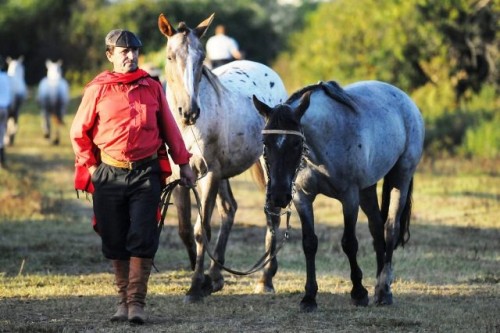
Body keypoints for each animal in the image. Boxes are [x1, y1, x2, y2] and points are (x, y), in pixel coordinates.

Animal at [254, 80, 426, 312]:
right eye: (265, 142)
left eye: (296, 144)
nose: (279, 196)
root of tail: (405, 100)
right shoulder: (302, 198)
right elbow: (309, 243)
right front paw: (309, 297)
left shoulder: (349, 197)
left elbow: (349, 243)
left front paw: (358, 292)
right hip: (367, 189)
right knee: (377, 229)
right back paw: (379, 283)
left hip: (401, 178)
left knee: (391, 228)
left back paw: (384, 289)